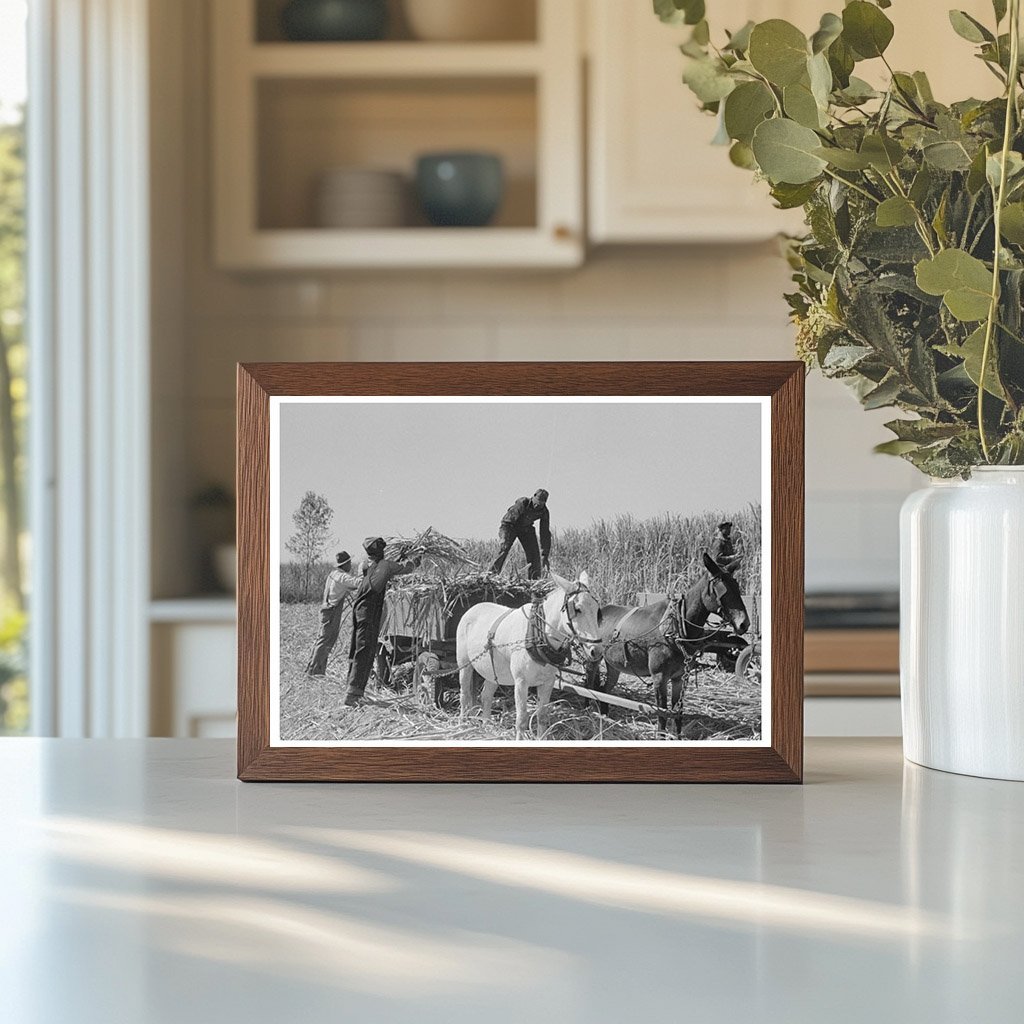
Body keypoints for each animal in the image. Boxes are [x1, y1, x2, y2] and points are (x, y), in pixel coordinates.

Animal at [454, 573, 598, 741]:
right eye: (577, 609)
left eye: (597, 610)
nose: (596, 650)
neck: (538, 636)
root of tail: (473, 608)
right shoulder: (521, 682)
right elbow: (522, 719)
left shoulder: (547, 682)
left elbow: (542, 716)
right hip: (464, 664)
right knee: (464, 694)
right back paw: (462, 725)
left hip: (493, 671)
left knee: (486, 696)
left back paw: (486, 726)